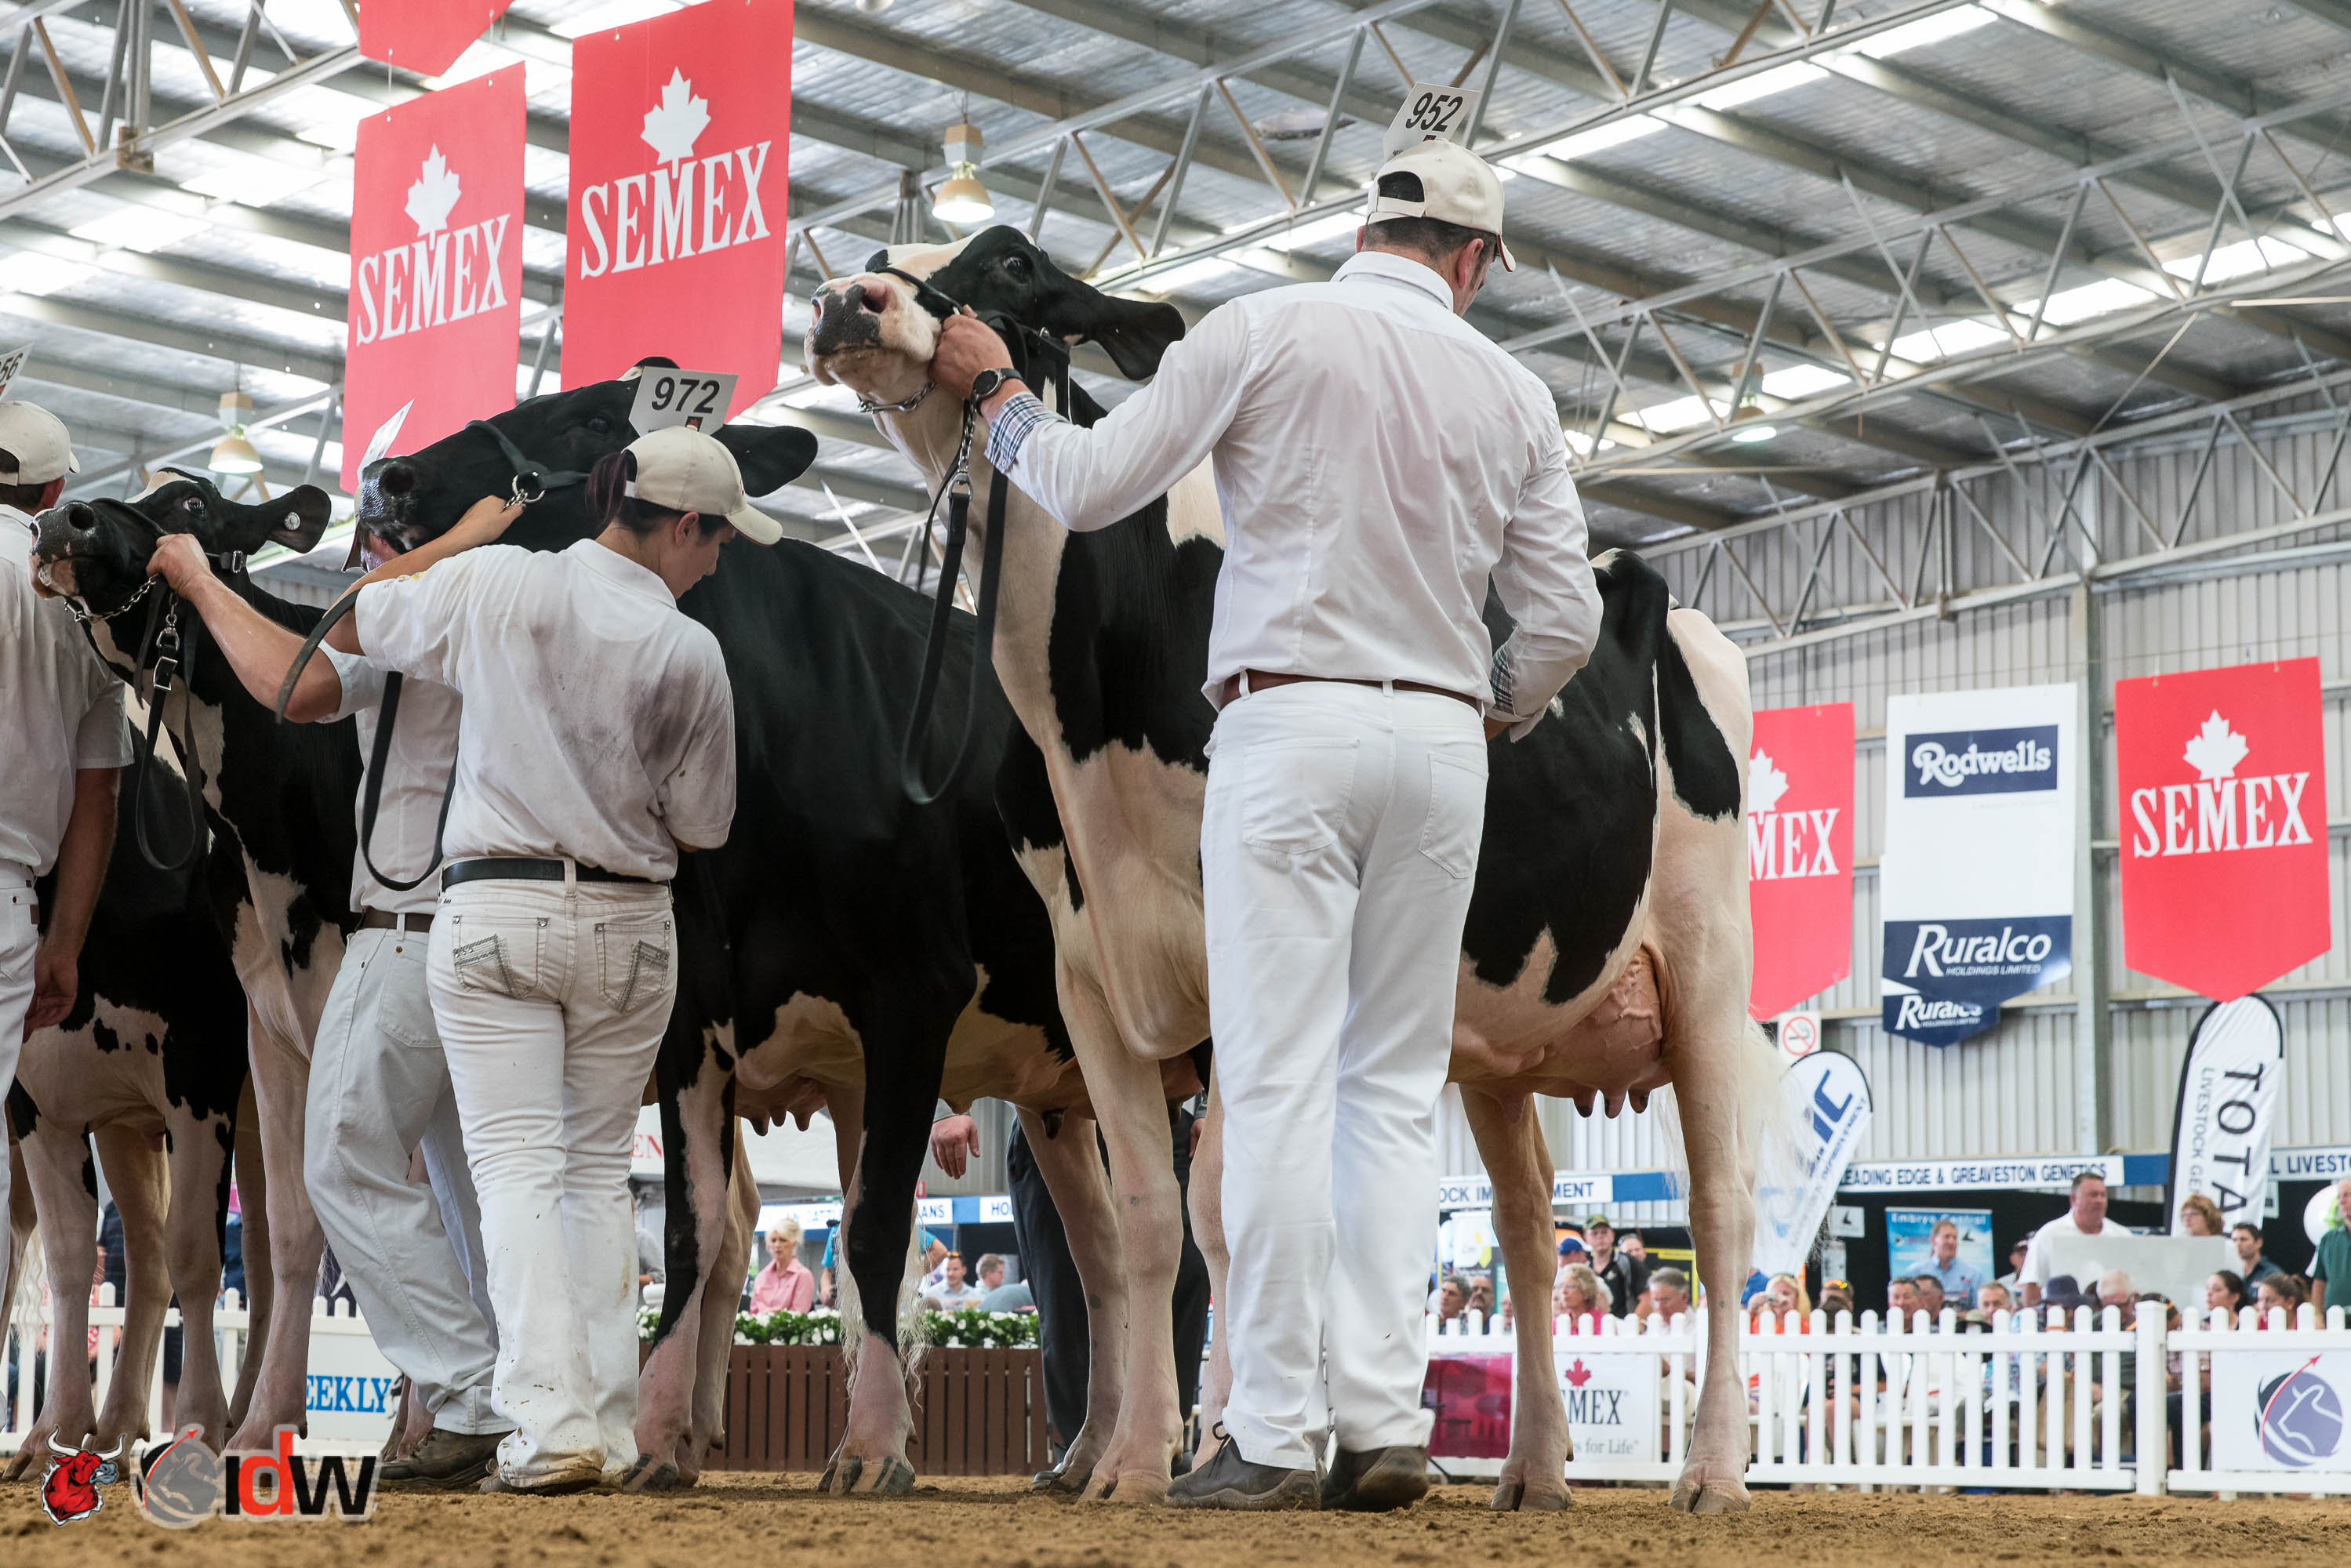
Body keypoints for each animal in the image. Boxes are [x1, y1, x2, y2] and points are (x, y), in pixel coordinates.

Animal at [353, 374, 1201, 1492]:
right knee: (1100, 1250)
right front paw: (658, 1436)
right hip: (1061, 1087)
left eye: (595, 417)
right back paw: (1086, 1451)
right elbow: (690, 1228)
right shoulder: (688, 1020)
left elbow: (873, 1230)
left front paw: (874, 1442)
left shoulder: (912, 996)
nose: (386, 478)